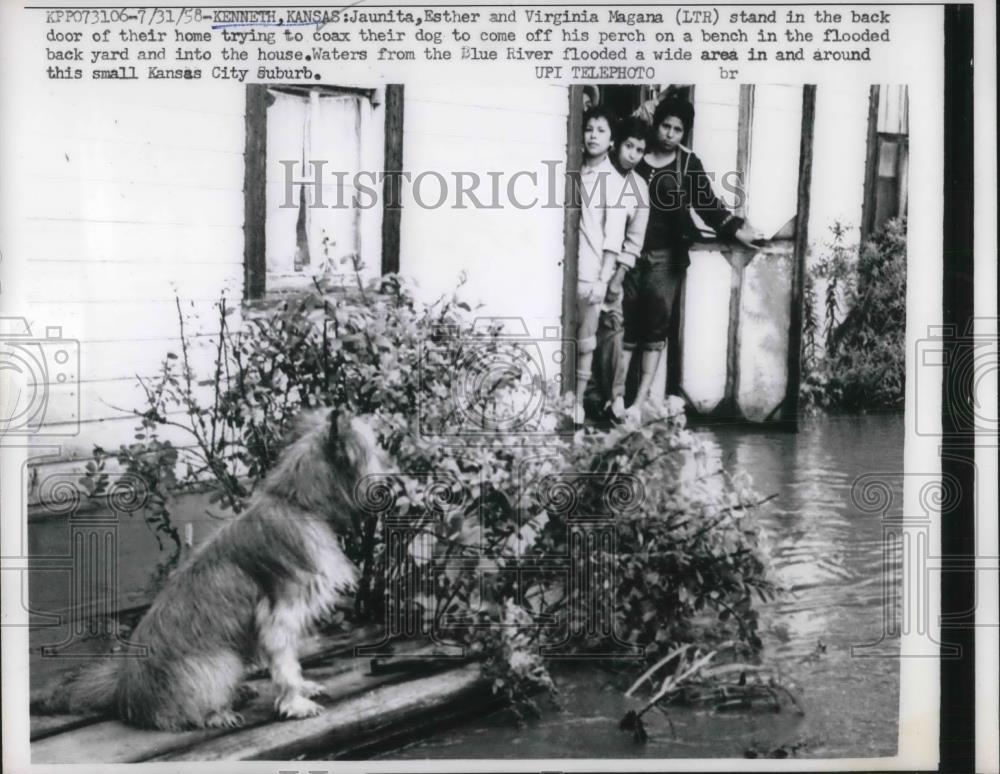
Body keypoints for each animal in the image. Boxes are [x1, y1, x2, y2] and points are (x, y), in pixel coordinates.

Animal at [34, 410, 390, 732]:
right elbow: (285, 662)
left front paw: (302, 689)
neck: (298, 503)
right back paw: (217, 714)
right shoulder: (278, 613)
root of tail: (124, 692)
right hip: (220, 661)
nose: (390, 481)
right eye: (373, 451)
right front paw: (295, 702)